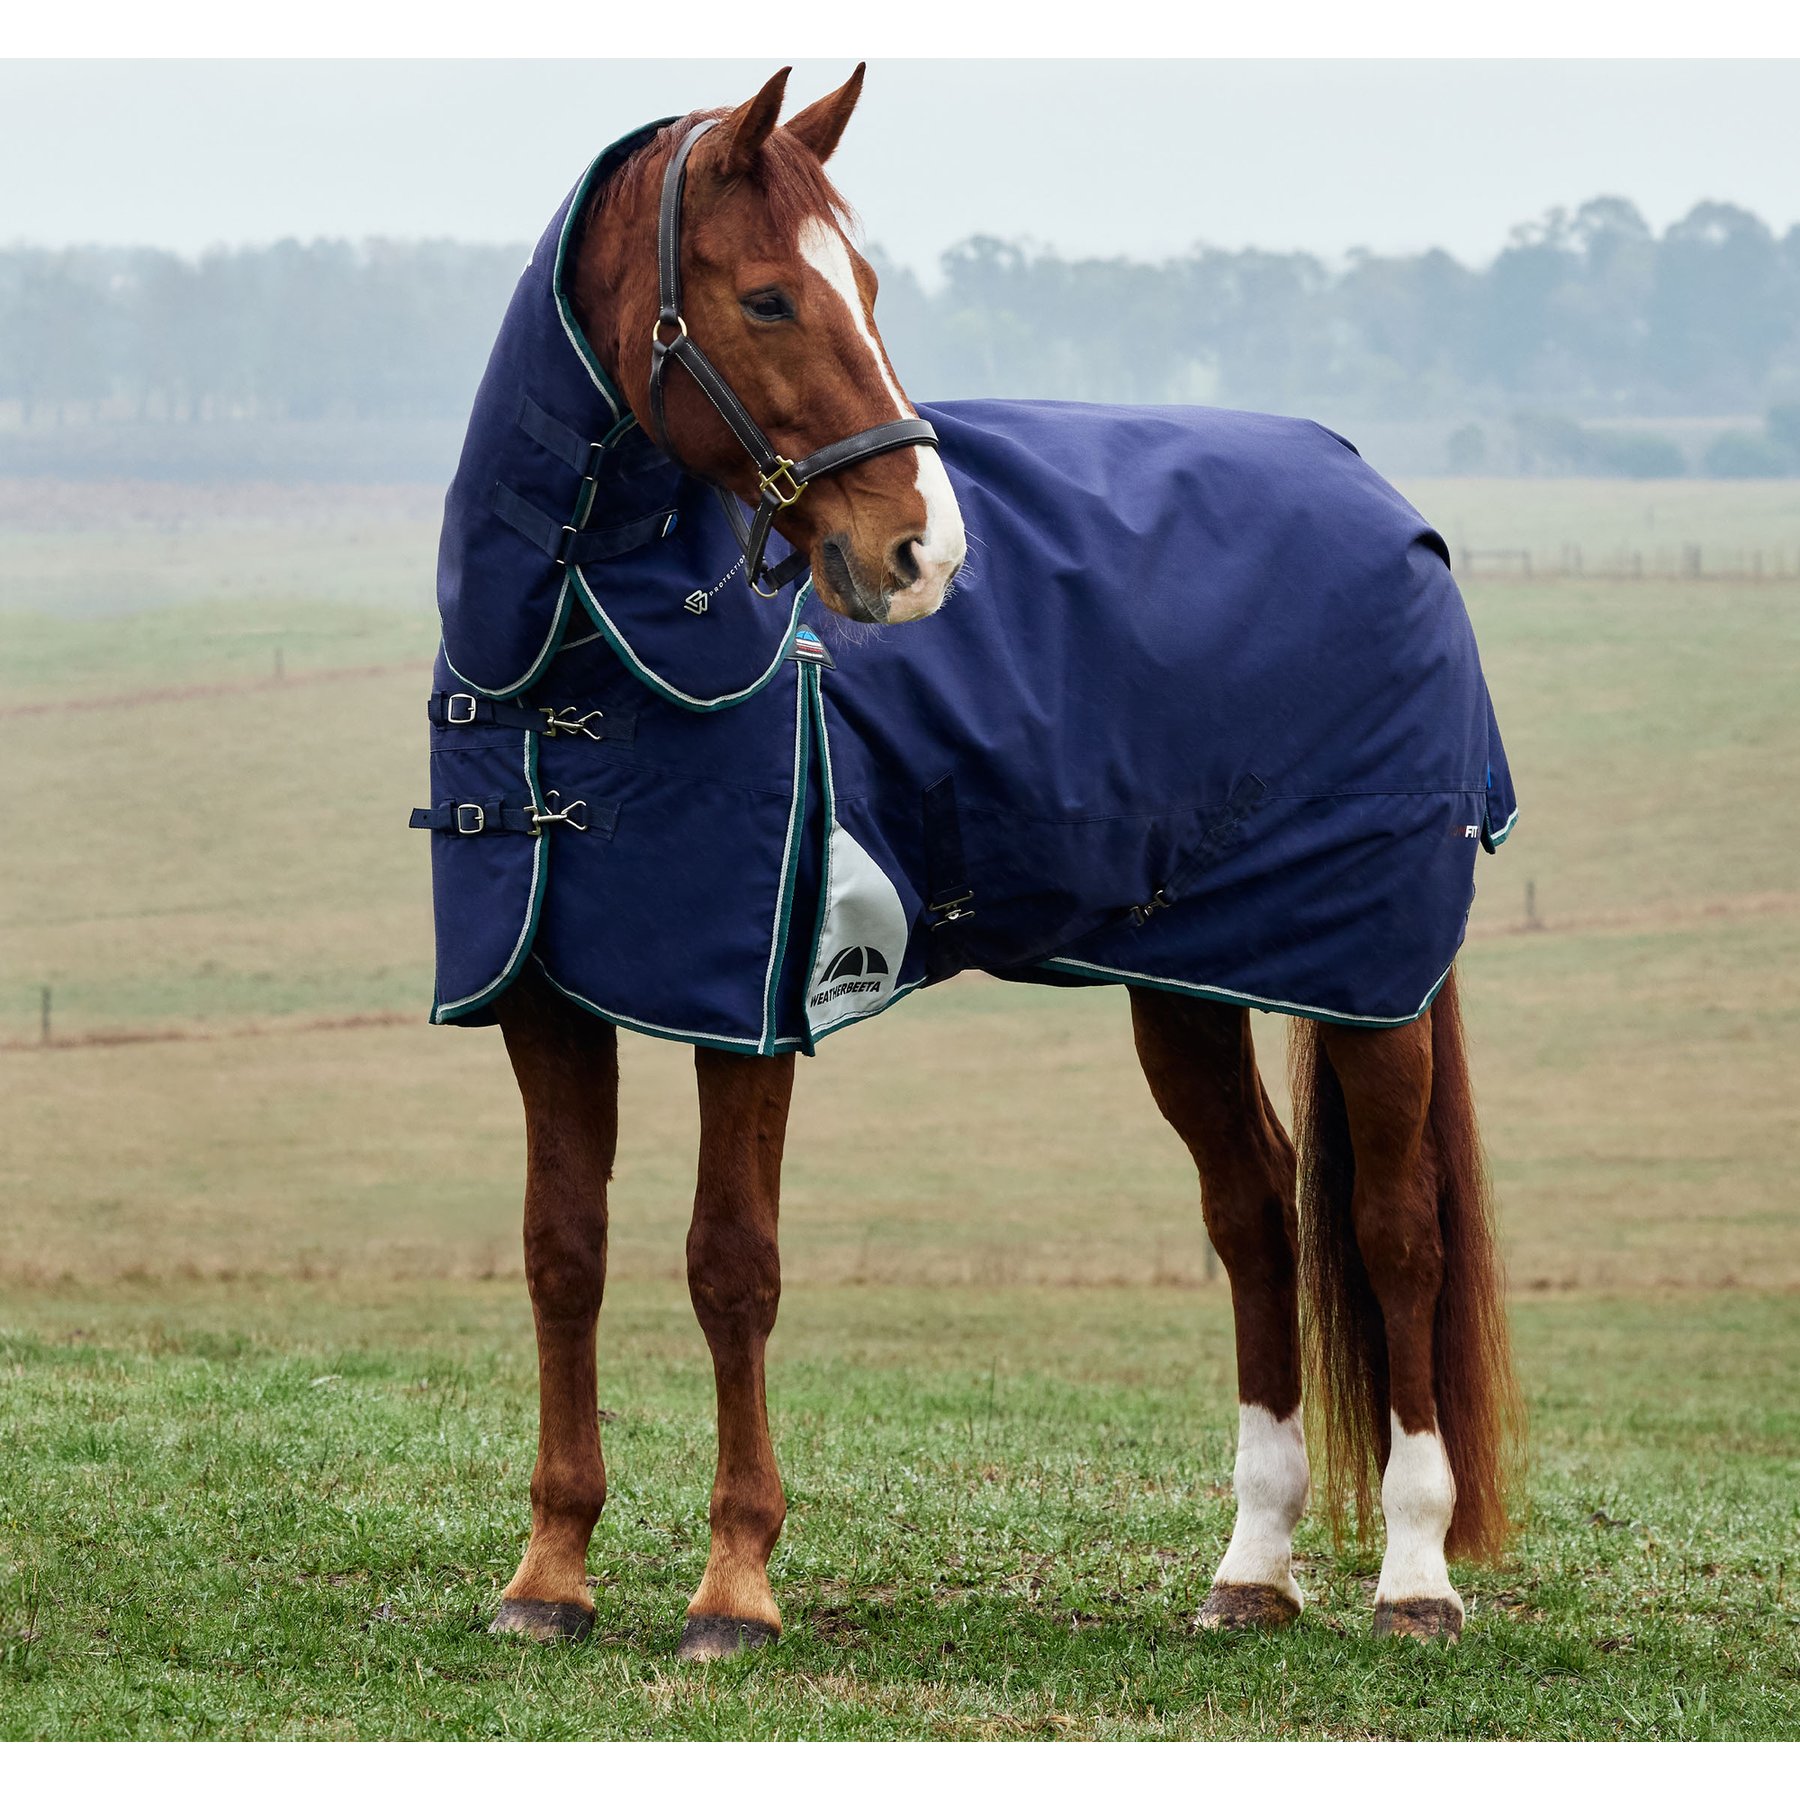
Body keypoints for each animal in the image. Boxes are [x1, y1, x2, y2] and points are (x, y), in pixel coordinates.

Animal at [420, 66, 1521, 1661]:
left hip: (1371, 978)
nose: (921, 553)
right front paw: (548, 1575)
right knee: (1255, 1217)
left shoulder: (753, 1007)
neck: (580, 661)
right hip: (1183, 977)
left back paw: (1417, 1577)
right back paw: (1250, 1569)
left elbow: (730, 1265)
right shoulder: (547, 1000)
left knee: (1395, 1231)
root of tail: (1394, 513)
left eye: (867, 287)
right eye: (767, 298)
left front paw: (734, 1588)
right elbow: (564, 1252)